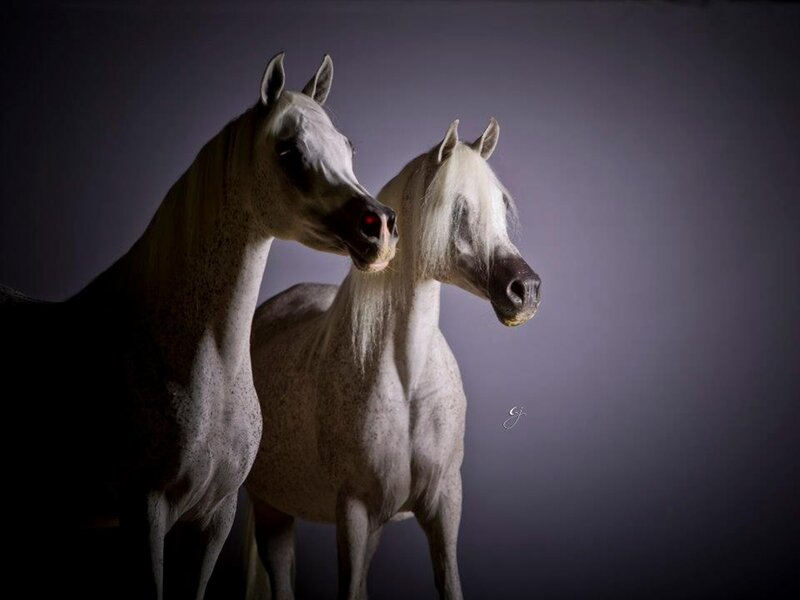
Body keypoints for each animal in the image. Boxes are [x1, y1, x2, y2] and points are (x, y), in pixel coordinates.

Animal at [244, 118, 541, 600]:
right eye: (456, 209)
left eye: (500, 204)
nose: (525, 290)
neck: (407, 381)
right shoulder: (354, 511)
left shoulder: (444, 503)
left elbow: (449, 583)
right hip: (272, 510)